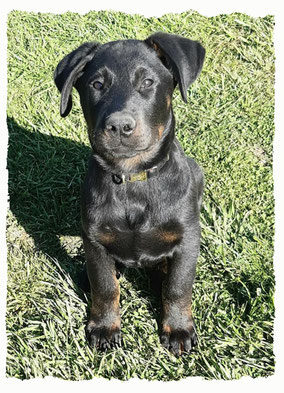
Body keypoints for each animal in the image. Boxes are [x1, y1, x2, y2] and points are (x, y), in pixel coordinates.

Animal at [53, 33, 204, 356]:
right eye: (97, 84)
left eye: (147, 82)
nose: (120, 126)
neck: (132, 179)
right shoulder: (95, 239)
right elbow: (105, 286)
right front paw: (104, 327)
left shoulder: (187, 239)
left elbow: (178, 286)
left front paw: (178, 329)